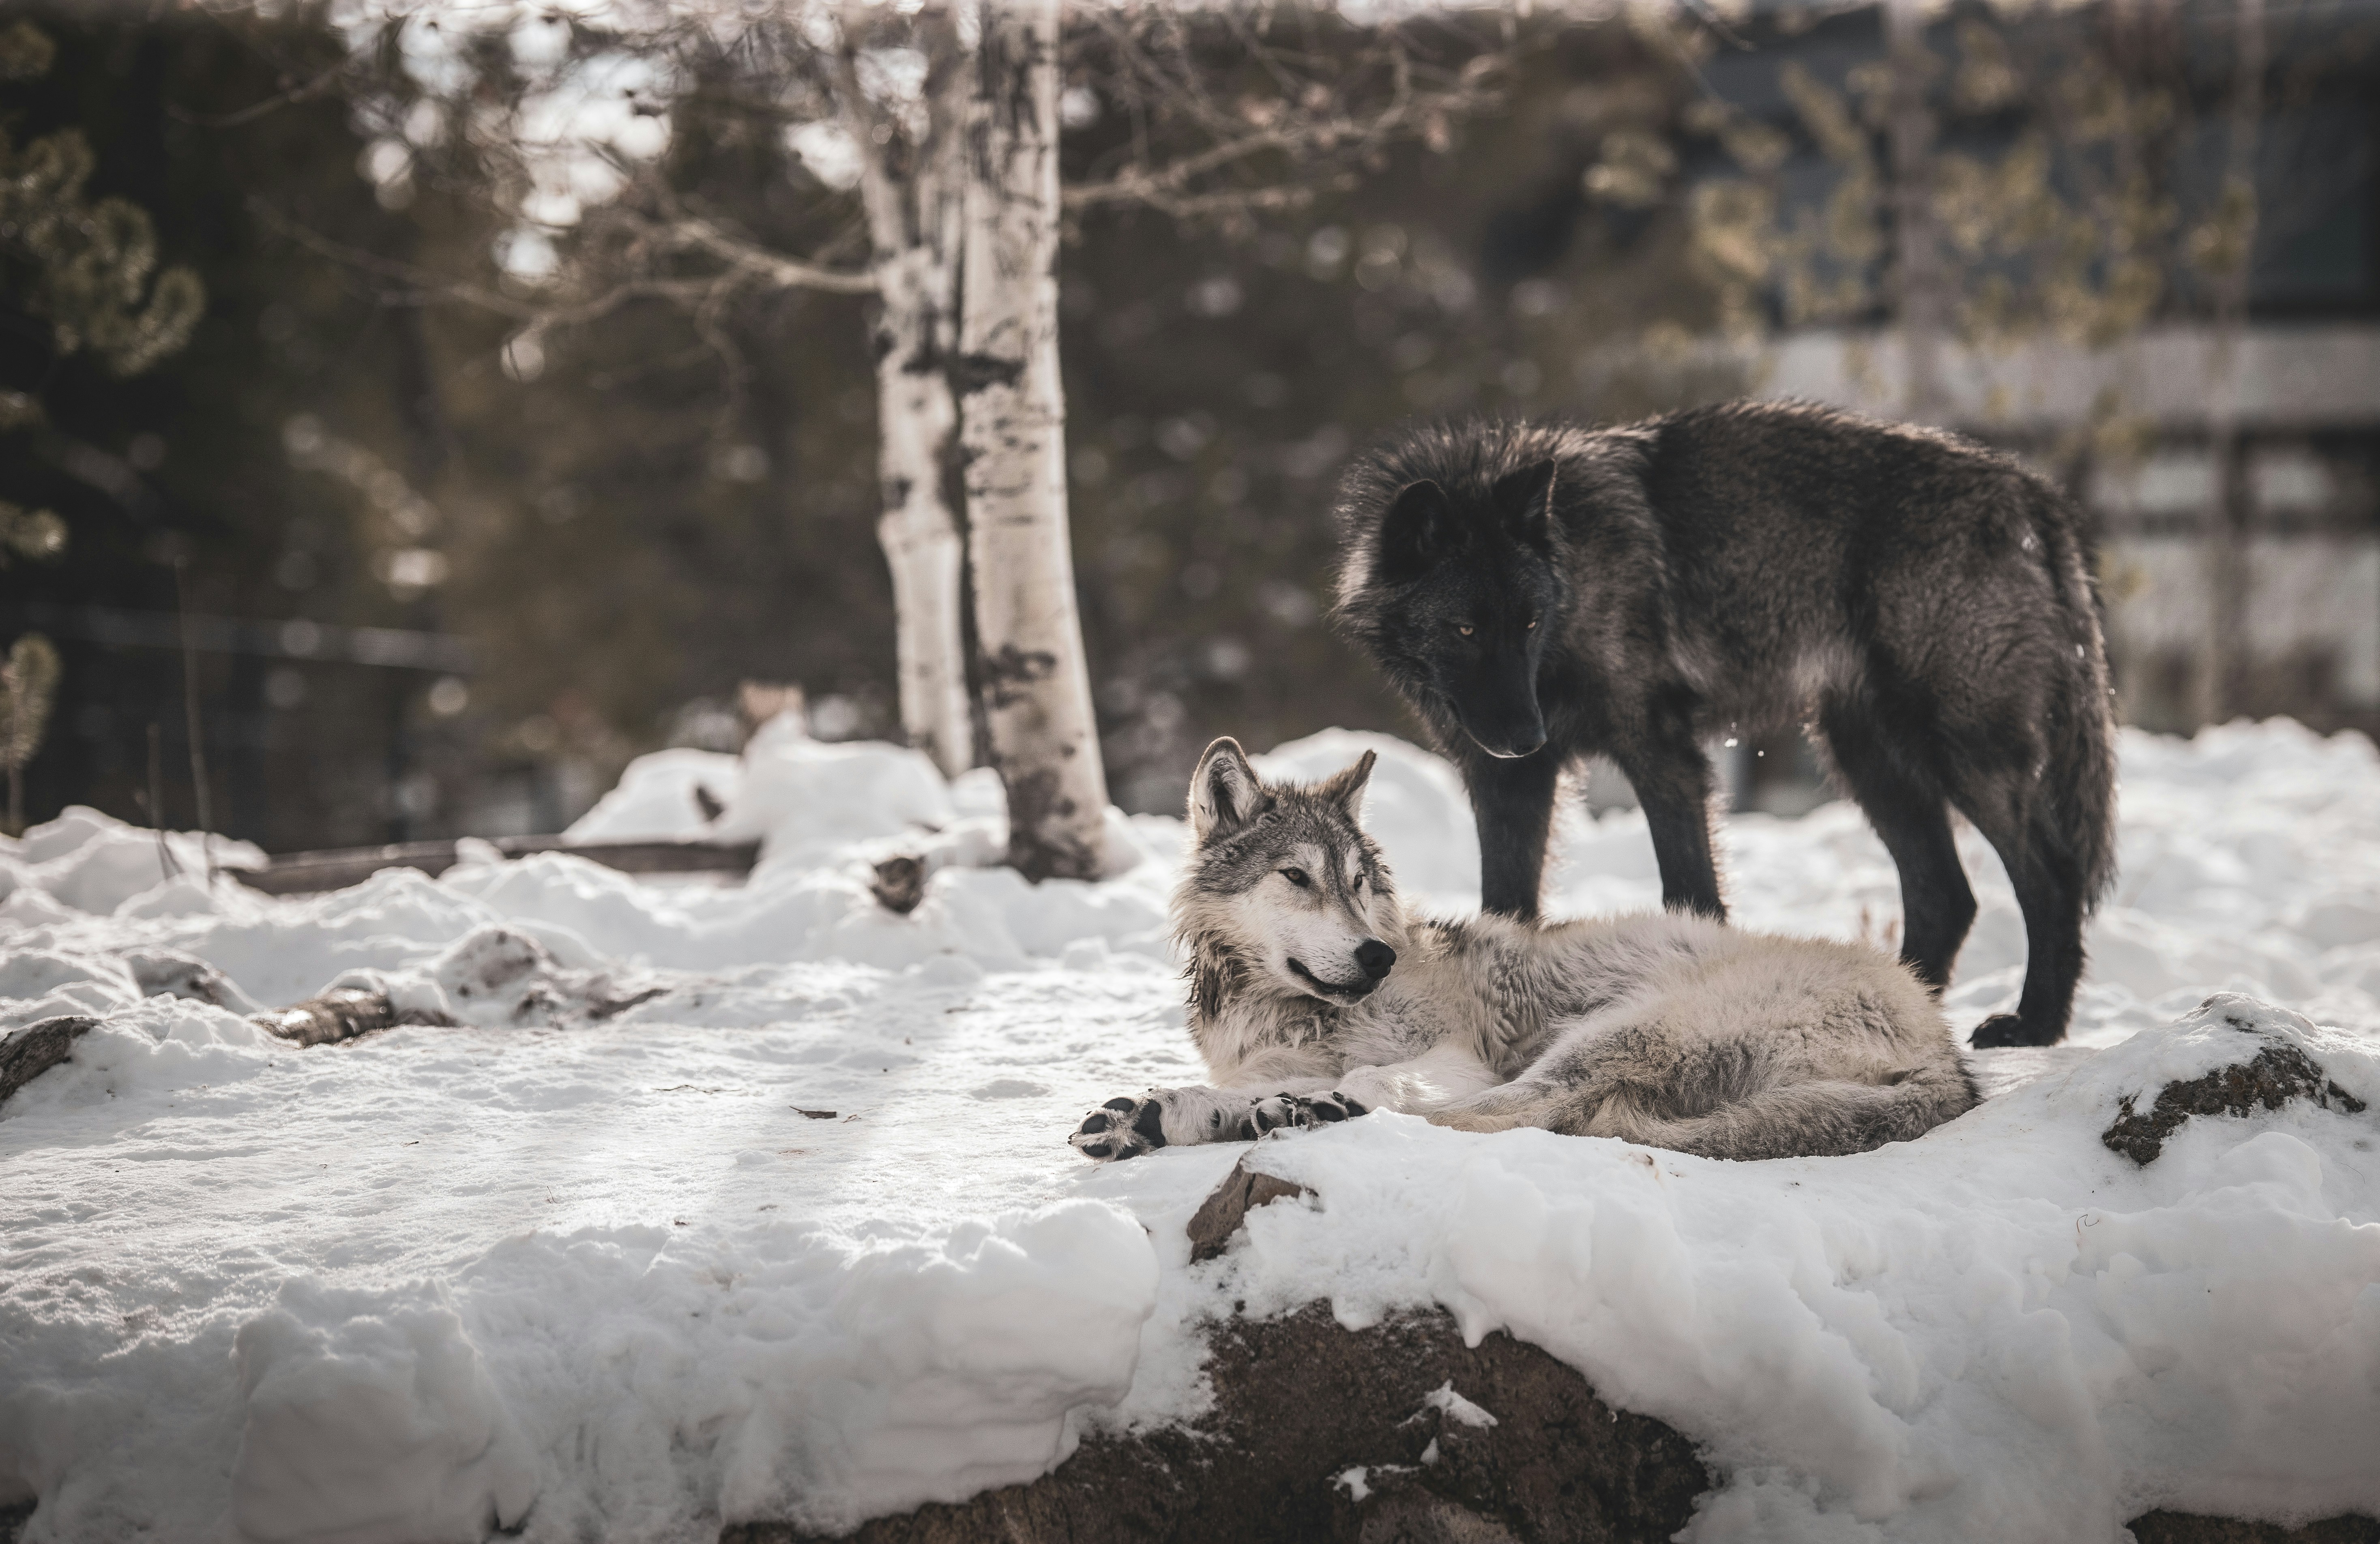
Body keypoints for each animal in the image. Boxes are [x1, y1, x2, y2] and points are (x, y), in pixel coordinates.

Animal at [1068, 739, 1977, 1164]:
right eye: (1297, 876)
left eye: (1358, 880)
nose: (1376, 957)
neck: (1289, 1012)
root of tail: (1949, 1053)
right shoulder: (1267, 1060)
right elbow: (1246, 1087)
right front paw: (1159, 1110)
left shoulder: (1455, 1056)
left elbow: (1386, 1079)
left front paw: (1310, 1104)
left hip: (1612, 1030)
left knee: (1517, 1112)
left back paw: (1318, 1115)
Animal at [1330, 400, 2118, 1049]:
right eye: (1464, 628)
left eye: (1526, 622)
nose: (1528, 737)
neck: (1576, 576)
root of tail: (2029, 491)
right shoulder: (1506, 782)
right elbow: (1506, 904)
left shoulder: (1661, 755)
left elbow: (1691, 890)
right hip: (1867, 759)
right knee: (1946, 895)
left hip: (1961, 751)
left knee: (2050, 877)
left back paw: (2035, 1024)